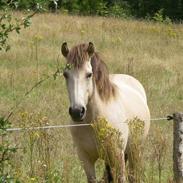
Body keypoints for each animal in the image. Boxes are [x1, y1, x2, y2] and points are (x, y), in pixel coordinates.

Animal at [61, 42, 150, 182]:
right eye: (65, 74)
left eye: (89, 74)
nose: (77, 111)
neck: (93, 122)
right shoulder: (85, 159)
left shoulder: (118, 157)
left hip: (135, 151)